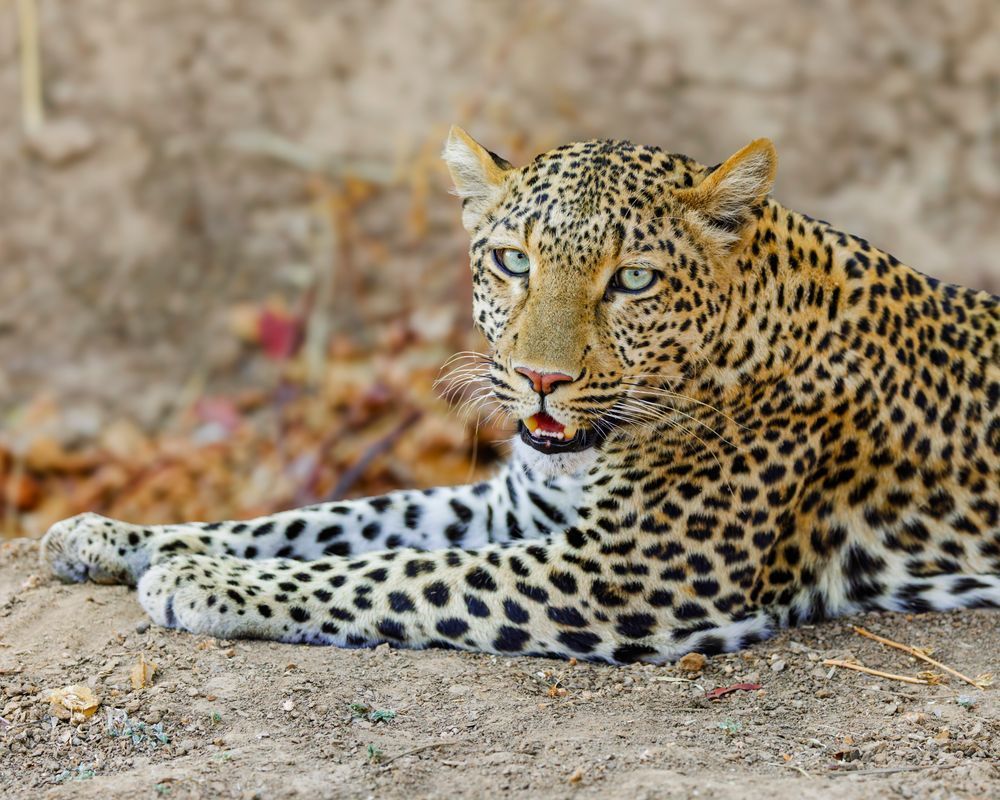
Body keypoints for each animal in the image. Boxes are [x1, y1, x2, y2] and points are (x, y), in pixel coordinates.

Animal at [40, 127, 1000, 664]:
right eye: (512, 262)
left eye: (633, 279)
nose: (543, 379)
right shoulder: (517, 507)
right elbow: (328, 521)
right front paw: (111, 536)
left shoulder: (625, 574)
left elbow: (395, 571)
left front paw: (204, 581)